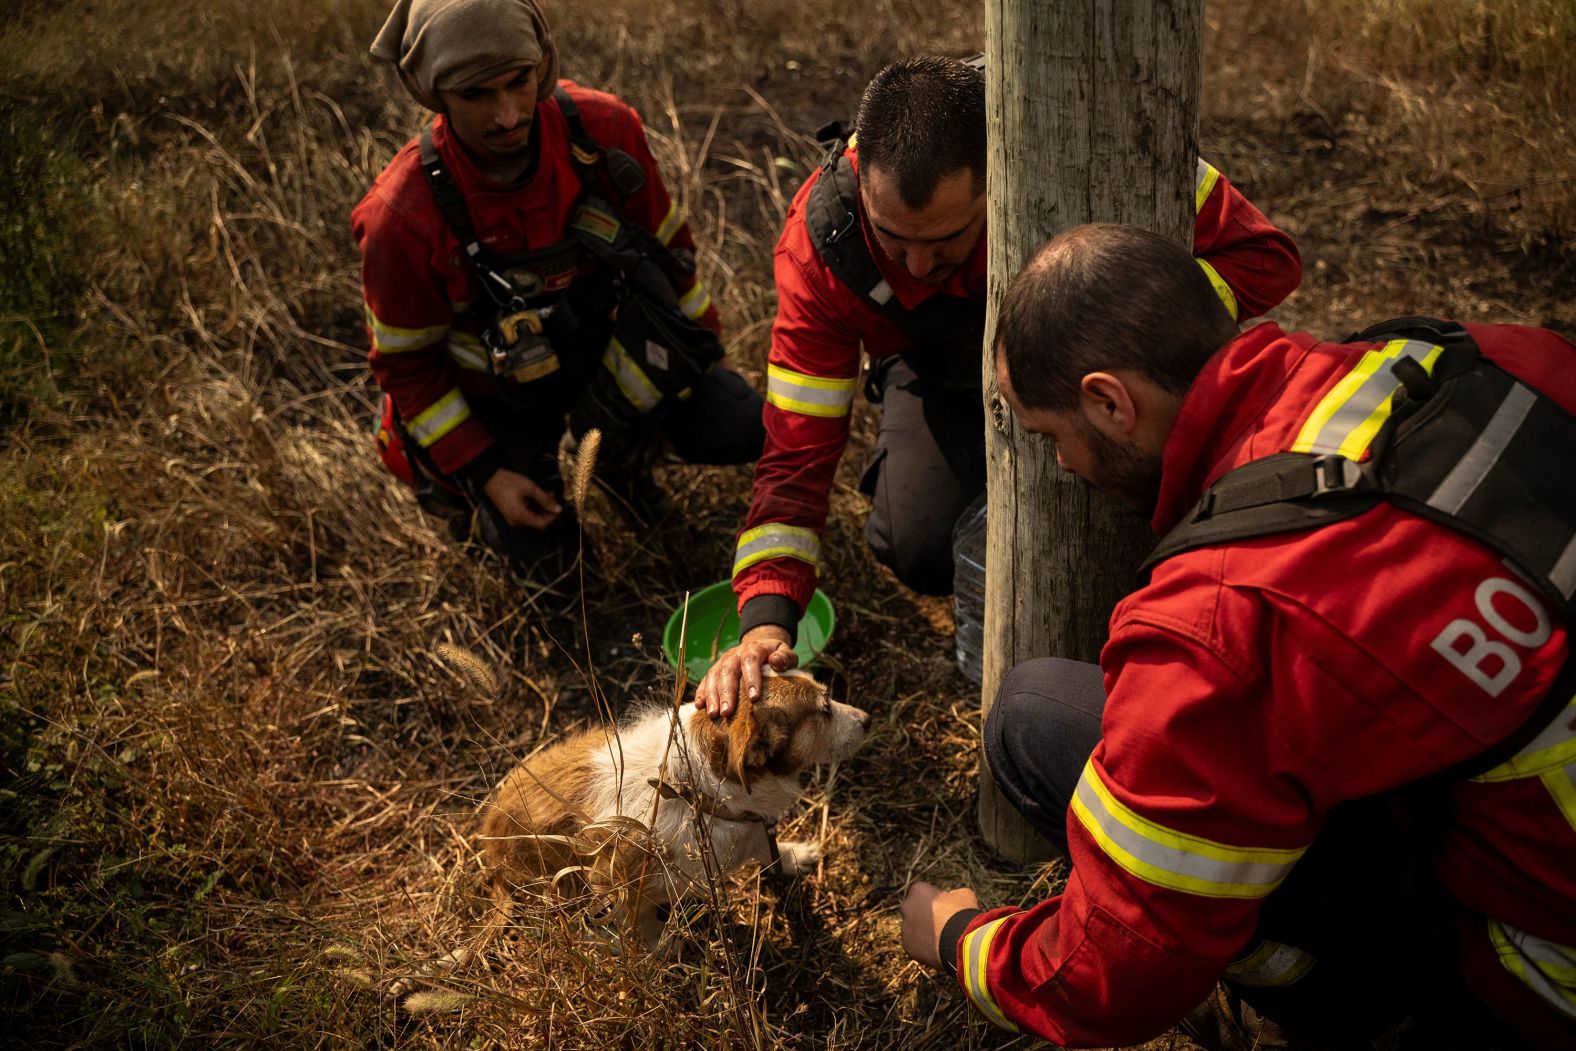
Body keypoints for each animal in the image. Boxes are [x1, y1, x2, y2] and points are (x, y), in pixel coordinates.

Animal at [479, 674, 876, 951]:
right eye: (824, 709)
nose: (869, 719)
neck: (695, 791)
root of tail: (491, 856)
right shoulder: (619, 886)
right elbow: (642, 922)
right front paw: (660, 946)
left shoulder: (752, 827)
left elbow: (769, 850)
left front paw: (795, 856)